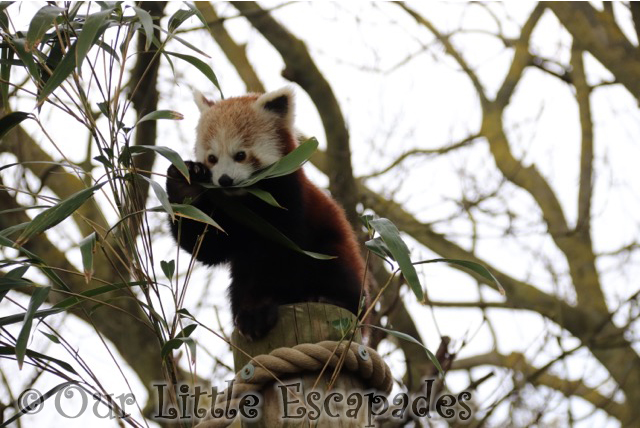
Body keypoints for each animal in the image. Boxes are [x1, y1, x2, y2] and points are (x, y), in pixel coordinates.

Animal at [165, 88, 368, 342]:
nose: (224, 180)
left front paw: (256, 311)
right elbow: (208, 246)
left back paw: (334, 298)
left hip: (336, 250)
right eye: (212, 158)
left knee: (338, 269)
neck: (251, 200)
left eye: (240, 155)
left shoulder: (289, 202)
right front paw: (185, 184)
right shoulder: (230, 217)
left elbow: (277, 260)